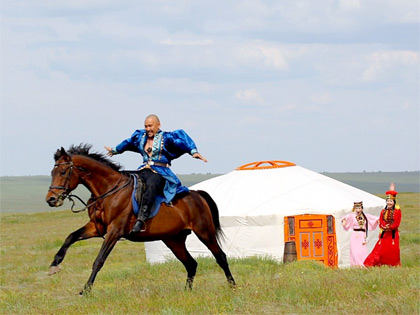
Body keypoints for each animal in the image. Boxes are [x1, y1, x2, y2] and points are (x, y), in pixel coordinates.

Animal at [47, 146, 236, 296]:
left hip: (204, 232)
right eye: (52, 173)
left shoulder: (114, 231)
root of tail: (197, 194)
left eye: (63, 172)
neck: (109, 190)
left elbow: (99, 260)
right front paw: (54, 265)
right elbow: (71, 237)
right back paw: (187, 292)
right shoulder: (97, 228)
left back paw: (233, 287)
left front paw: (86, 290)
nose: (51, 199)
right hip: (173, 240)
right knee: (191, 264)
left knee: (220, 256)